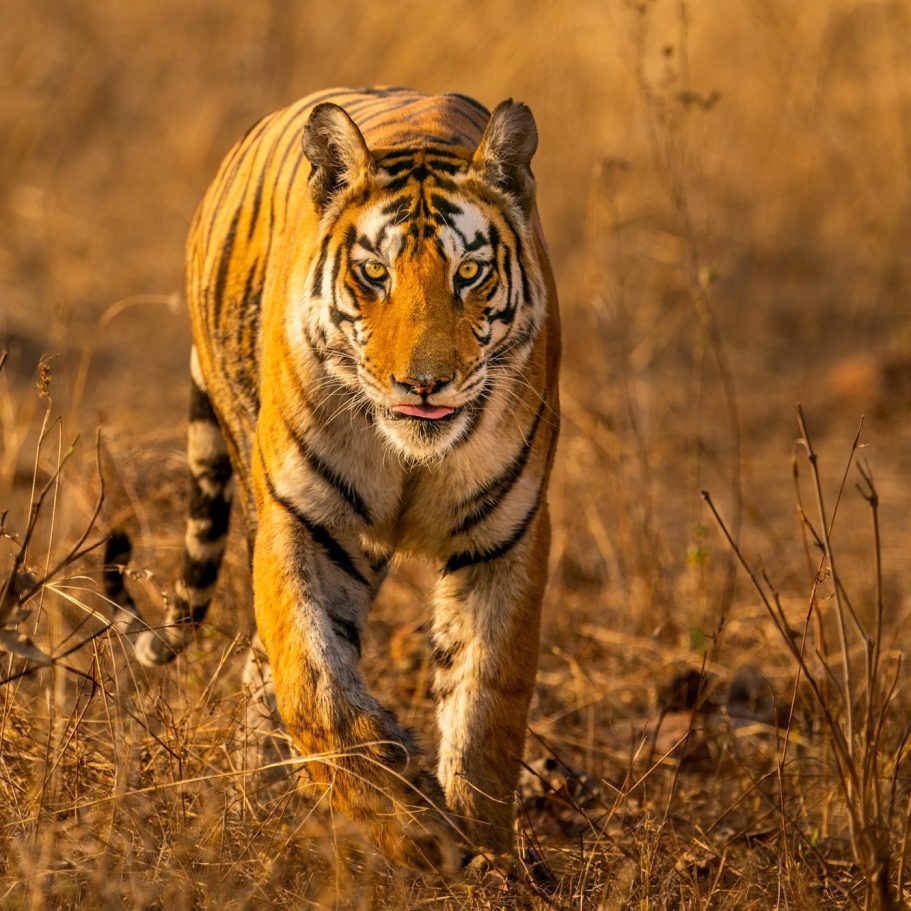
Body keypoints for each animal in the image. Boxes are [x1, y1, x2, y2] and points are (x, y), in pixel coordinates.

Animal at [107, 87, 560, 873]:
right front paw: (411, 821)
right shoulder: (303, 520)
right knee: (267, 667)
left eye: (468, 274)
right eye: (374, 274)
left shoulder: (508, 537)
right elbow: (312, 685)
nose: (423, 384)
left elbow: (487, 705)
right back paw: (257, 800)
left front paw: (489, 856)